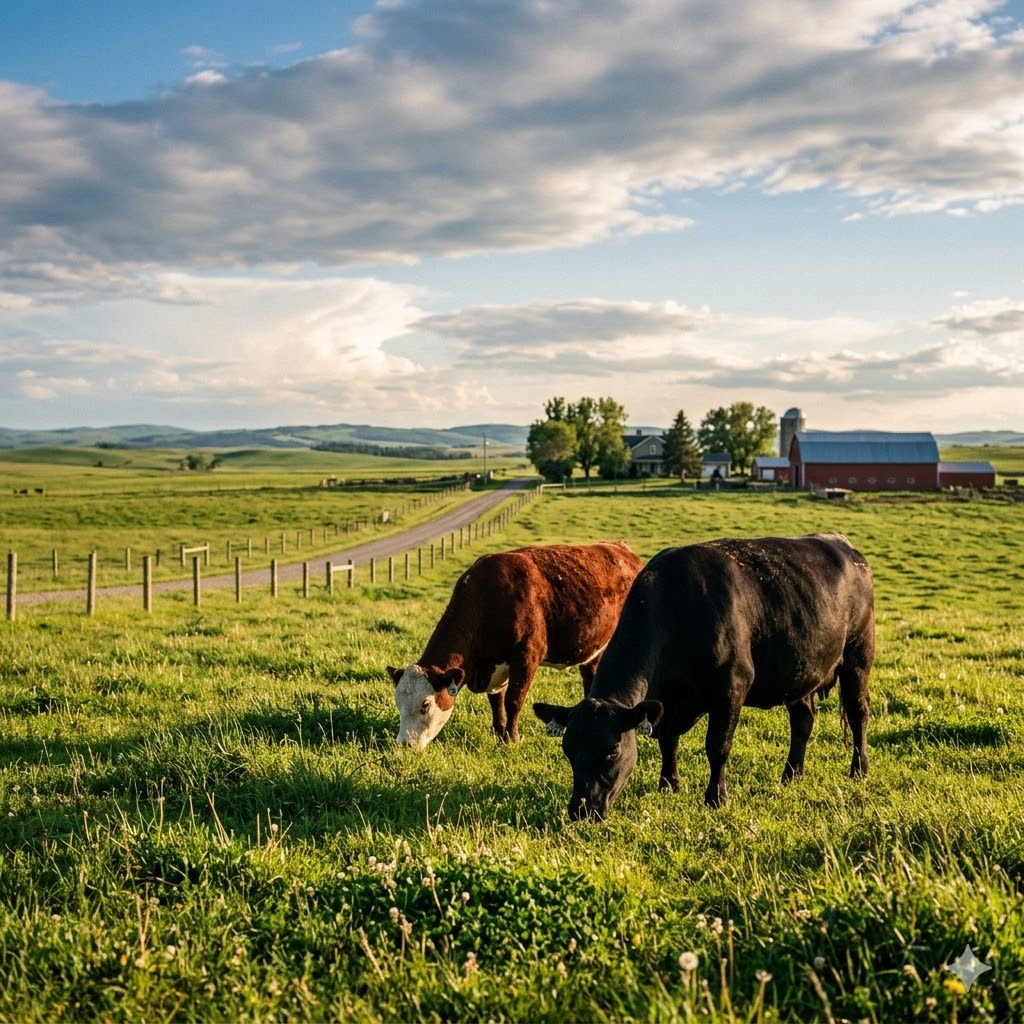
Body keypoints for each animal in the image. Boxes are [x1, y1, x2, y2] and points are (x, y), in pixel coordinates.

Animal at [387, 541, 643, 749]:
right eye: (398, 703)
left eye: (425, 705)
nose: (404, 744)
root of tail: (619, 546)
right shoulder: (495, 666)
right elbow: (496, 702)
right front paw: (499, 734)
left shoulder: (527, 655)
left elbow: (513, 700)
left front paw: (512, 738)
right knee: (589, 676)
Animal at [534, 534, 874, 820]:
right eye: (568, 750)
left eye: (612, 750)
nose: (581, 810)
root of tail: (842, 544)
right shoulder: (666, 705)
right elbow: (668, 742)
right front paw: (668, 784)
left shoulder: (731, 688)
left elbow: (717, 746)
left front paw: (716, 798)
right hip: (799, 670)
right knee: (803, 719)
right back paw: (791, 774)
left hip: (858, 654)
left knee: (858, 712)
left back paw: (859, 769)